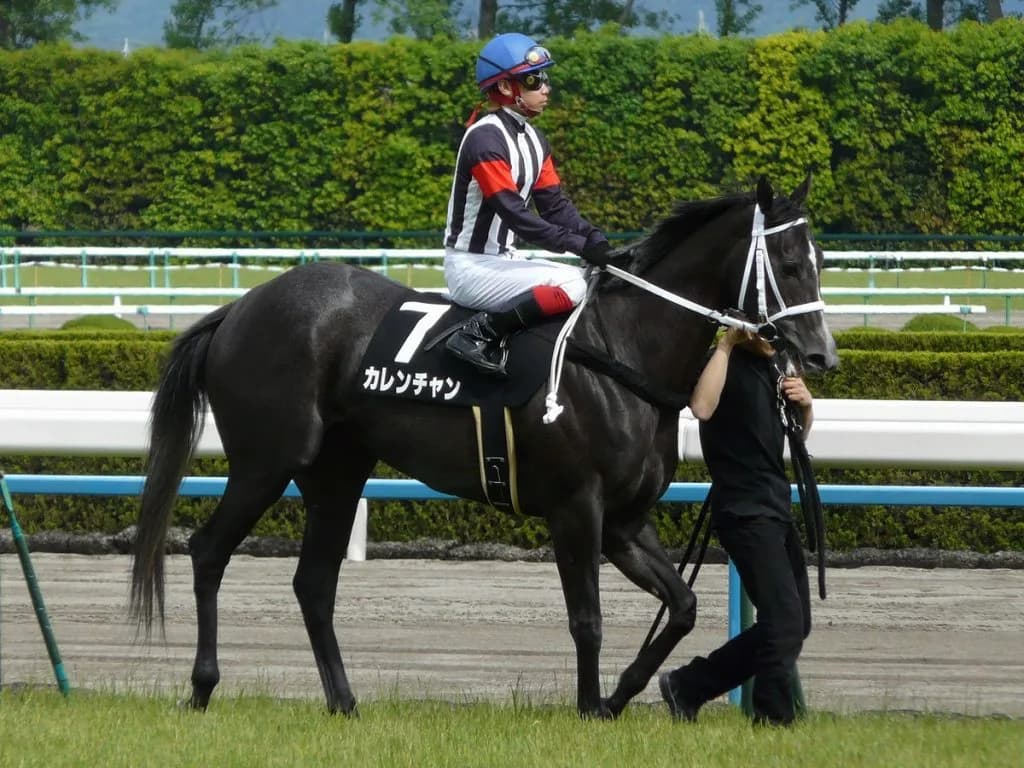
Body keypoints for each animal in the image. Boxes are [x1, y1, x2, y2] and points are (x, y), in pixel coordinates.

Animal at [130, 175, 838, 720]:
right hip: (267, 460)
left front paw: (623, 697)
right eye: (789, 264)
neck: (621, 353)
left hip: (337, 473)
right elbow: (587, 618)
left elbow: (684, 607)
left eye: (821, 261)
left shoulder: (625, 522)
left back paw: (344, 701)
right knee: (209, 552)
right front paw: (589, 708)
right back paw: (201, 688)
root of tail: (239, 307)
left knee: (313, 583)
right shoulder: (576, 509)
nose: (821, 356)